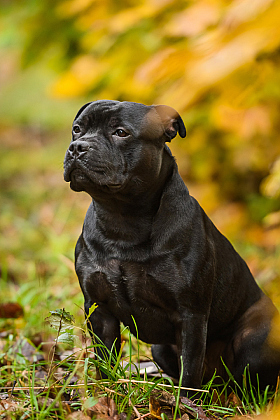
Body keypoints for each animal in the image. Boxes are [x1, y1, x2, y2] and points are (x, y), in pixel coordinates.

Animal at [64, 101, 280, 394]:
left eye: (121, 132)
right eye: (77, 129)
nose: (78, 147)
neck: (123, 219)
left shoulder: (190, 315)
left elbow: (190, 368)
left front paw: (186, 402)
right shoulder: (99, 309)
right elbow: (105, 358)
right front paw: (109, 392)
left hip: (256, 339)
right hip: (161, 348)